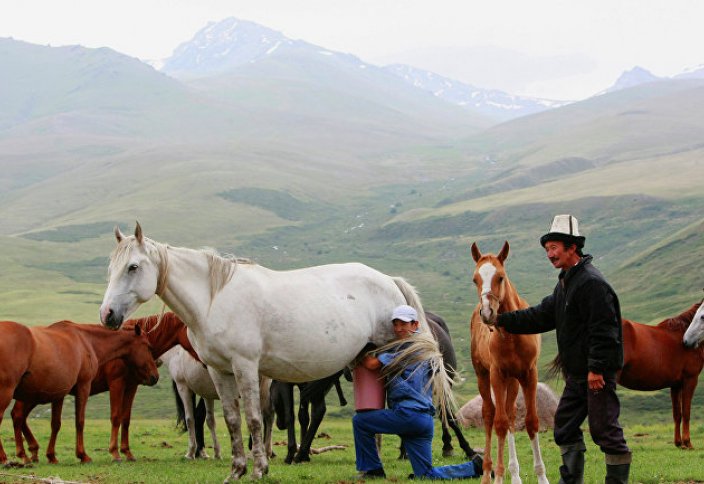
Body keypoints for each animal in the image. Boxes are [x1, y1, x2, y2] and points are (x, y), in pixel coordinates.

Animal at [99, 225, 452, 482]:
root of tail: (388, 280)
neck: (215, 298)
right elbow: (231, 420)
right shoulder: (219, 371)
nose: (107, 315)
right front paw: (236, 470)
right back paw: (371, 467)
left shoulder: (246, 367)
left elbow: (255, 419)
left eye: (132, 267)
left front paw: (258, 469)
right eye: (110, 267)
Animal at [620, 302, 700, 450]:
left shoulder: (676, 384)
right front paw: (687, 443)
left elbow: (677, 414)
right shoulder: (690, 379)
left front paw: (679, 443)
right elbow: (686, 412)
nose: (687, 341)